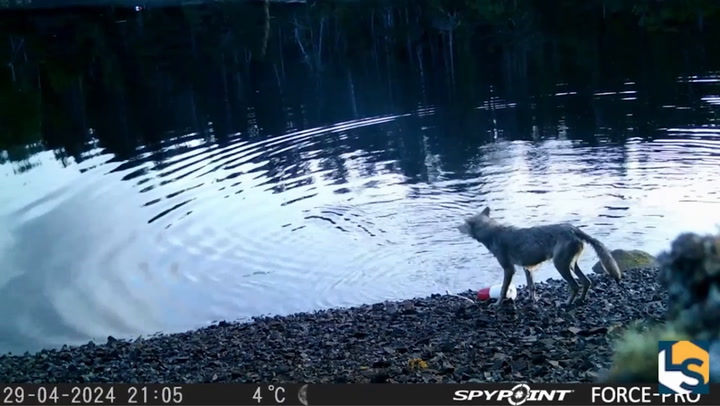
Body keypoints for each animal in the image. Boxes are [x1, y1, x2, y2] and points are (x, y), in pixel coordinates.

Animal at [458, 207, 622, 307]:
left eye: (464, 224)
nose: (457, 227)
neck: (492, 233)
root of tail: (574, 229)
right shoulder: (527, 268)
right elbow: (531, 286)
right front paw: (532, 300)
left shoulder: (509, 269)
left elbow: (504, 288)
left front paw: (497, 304)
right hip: (571, 265)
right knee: (586, 281)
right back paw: (580, 300)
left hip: (560, 265)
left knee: (575, 285)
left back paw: (567, 303)